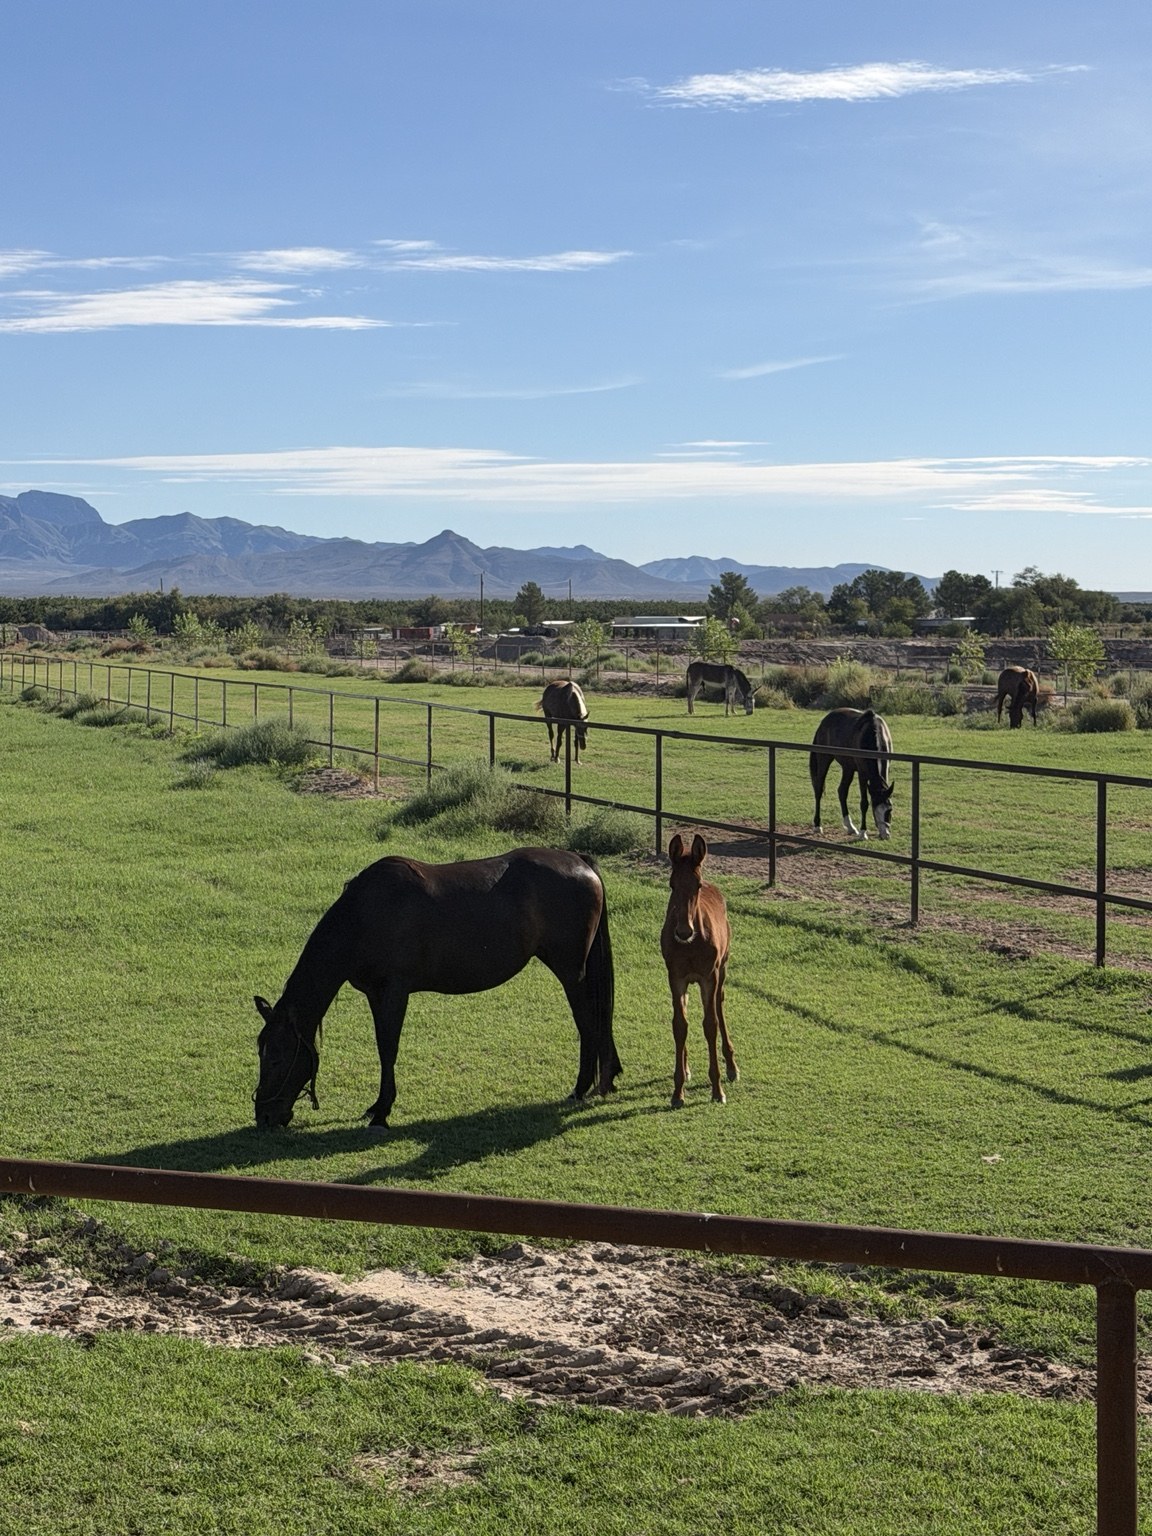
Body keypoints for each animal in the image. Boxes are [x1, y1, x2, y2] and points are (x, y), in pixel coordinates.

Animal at [253, 847, 620, 1132]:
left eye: (277, 1058)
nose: (264, 1117)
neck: (363, 916)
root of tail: (579, 860)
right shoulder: (374, 994)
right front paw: (377, 1106)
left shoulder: (394, 992)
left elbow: (387, 1049)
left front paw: (382, 1112)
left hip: (570, 974)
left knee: (588, 1024)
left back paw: (579, 1089)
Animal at [660, 832, 738, 1108]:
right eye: (672, 884)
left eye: (697, 885)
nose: (684, 931)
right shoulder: (676, 977)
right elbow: (679, 1024)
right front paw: (678, 1091)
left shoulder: (709, 976)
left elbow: (710, 1024)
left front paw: (717, 1089)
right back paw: (686, 1068)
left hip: (723, 968)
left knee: (719, 1005)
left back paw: (732, 1067)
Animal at [810, 707, 894, 841]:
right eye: (875, 809)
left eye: (889, 810)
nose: (885, 834)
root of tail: (825, 720)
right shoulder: (862, 774)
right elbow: (864, 803)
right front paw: (863, 832)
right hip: (824, 759)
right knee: (819, 789)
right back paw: (818, 825)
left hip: (847, 768)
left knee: (842, 791)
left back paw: (850, 827)